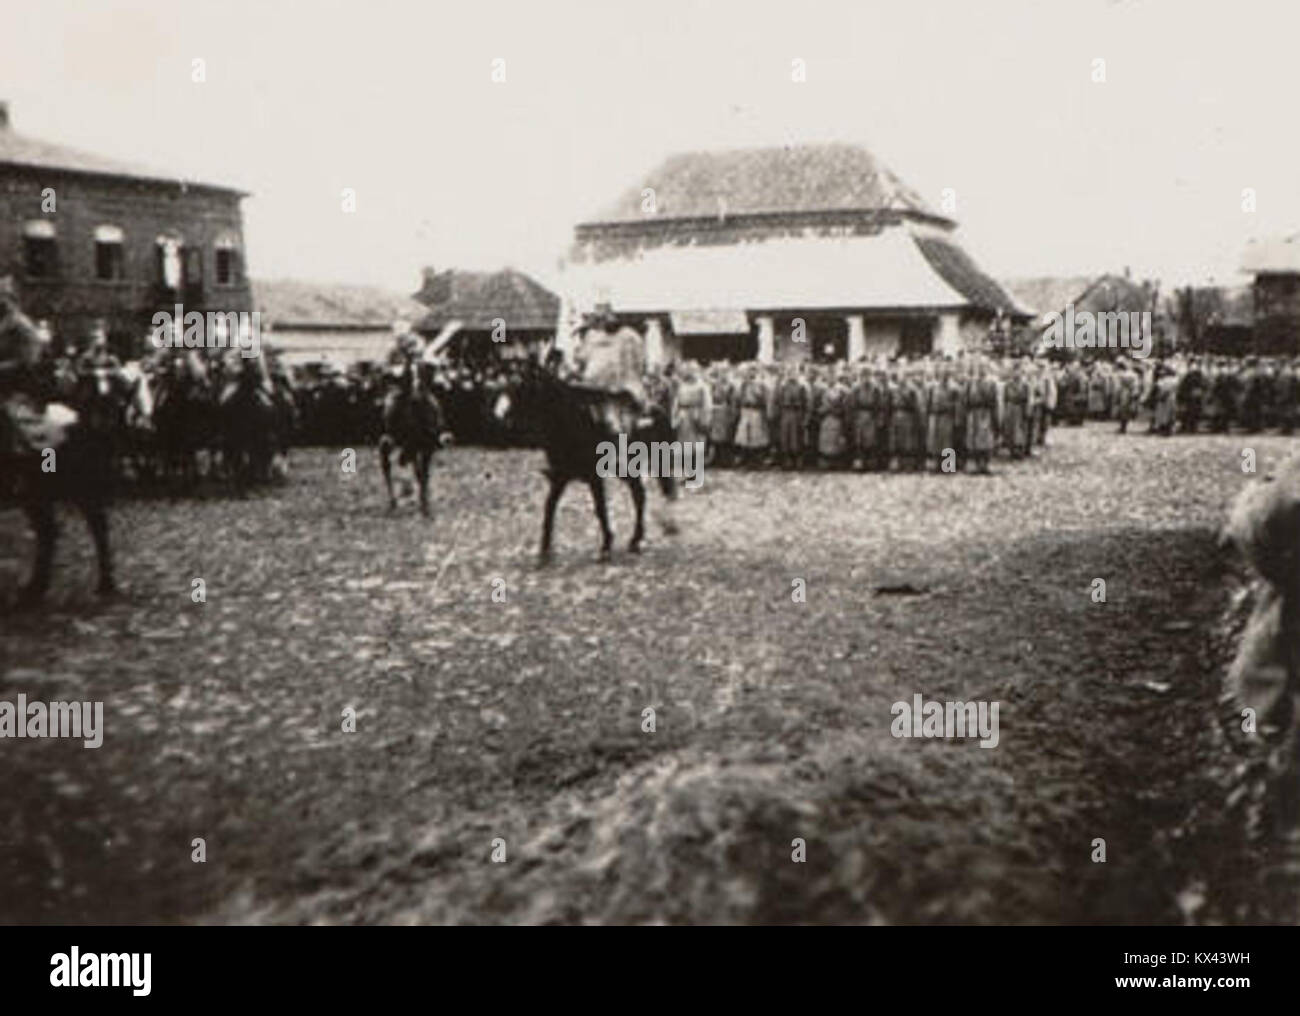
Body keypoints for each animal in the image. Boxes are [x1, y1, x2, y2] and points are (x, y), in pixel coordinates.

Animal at [499, 358, 681, 563]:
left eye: (525, 386)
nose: (504, 416)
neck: (574, 419)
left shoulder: (594, 477)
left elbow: (600, 508)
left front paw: (606, 547)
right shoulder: (560, 477)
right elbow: (549, 507)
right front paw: (544, 551)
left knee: (641, 494)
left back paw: (638, 539)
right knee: (639, 493)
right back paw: (635, 541)